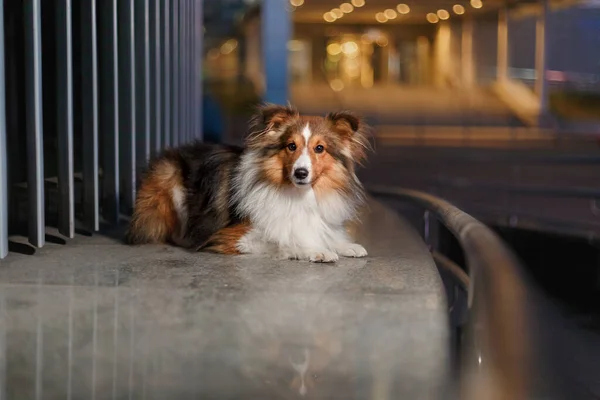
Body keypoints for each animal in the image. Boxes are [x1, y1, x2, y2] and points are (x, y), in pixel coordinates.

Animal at [126, 103, 370, 262]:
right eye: (291, 146)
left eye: (320, 148)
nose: (300, 173)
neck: (298, 194)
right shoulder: (232, 237)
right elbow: (284, 241)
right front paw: (316, 250)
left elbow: (323, 233)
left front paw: (347, 246)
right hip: (170, 178)